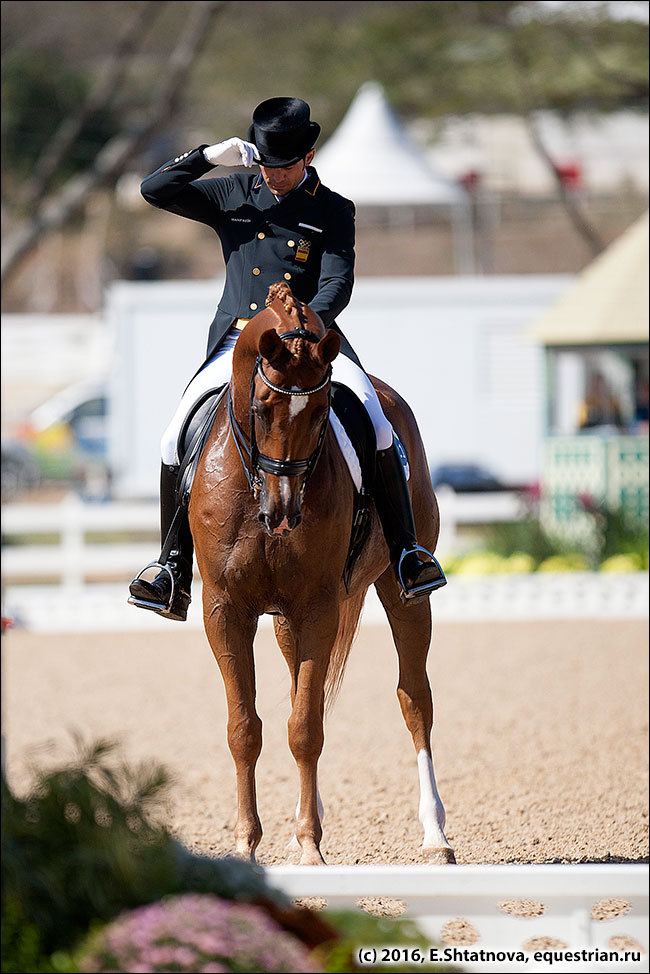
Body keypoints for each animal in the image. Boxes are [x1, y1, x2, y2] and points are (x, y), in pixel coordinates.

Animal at [186, 282, 450, 868]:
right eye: (262, 408)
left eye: (322, 411)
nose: (284, 514)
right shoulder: (225, 610)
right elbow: (246, 728)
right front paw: (247, 844)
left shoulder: (319, 607)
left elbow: (307, 728)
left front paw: (310, 845)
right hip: (286, 621)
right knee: (295, 695)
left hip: (403, 592)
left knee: (415, 700)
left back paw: (436, 836)